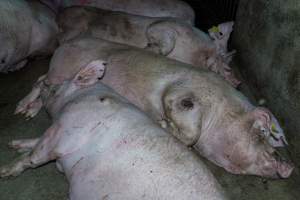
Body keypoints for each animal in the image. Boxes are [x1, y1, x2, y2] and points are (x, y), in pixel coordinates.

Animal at [0, 61, 227, 200]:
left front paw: (4, 172)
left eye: (55, 89)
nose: (44, 82)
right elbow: (35, 142)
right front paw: (13, 144)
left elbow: (35, 156)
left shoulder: (67, 129)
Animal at [15, 36, 292, 177]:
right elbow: (188, 129)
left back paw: (28, 112)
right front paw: (161, 123)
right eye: (262, 134)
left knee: (43, 82)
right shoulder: (180, 95)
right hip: (60, 71)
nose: (288, 166)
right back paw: (23, 111)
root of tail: (64, 44)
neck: (221, 110)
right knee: (40, 81)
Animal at [55, 6, 239, 87]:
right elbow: (165, 43)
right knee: (60, 40)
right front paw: (148, 48)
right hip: (74, 25)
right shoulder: (162, 26)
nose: (237, 83)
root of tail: (60, 14)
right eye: (228, 68)